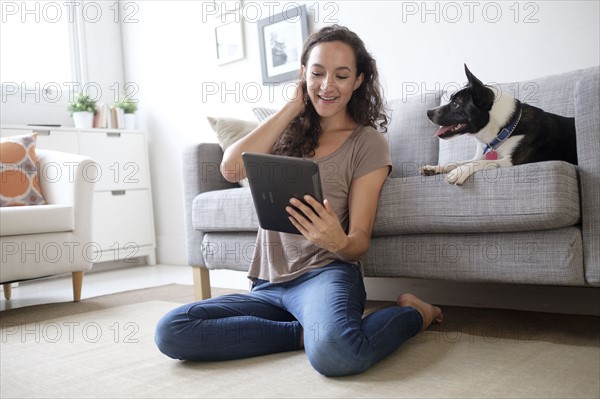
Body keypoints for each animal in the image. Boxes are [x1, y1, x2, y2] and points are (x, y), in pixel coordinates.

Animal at [420, 65, 580, 185]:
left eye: (455, 104)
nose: (428, 112)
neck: (504, 129)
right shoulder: (479, 156)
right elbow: (457, 162)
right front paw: (435, 167)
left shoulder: (513, 162)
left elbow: (482, 163)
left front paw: (459, 172)